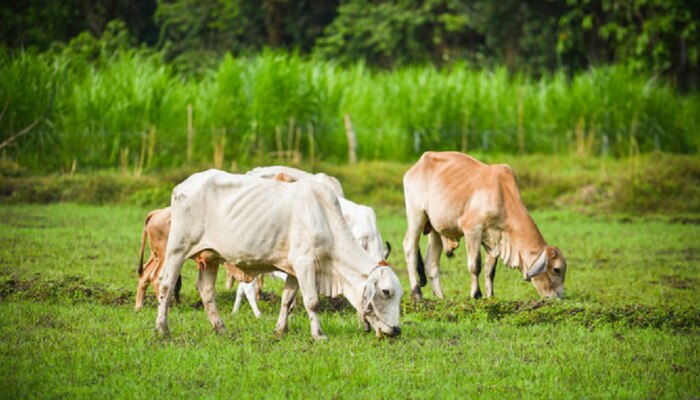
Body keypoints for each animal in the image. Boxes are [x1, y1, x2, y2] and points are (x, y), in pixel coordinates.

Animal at [156, 170, 402, 340]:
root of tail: (183, 185)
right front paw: (319, 335)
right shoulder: (305, 263)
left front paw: (280, 330)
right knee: (166, 285)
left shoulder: (294, 270)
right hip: (177, 248)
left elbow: (287, 300)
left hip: (210, 257)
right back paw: (162, 329)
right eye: (386, 292)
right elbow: (312, 302)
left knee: (206, 291)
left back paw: (221, 328)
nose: (397, 330)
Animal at [402, 152, 568, 302]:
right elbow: (475, 265)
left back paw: (441, 297)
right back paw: (417, 293)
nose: (559, 297)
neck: (503, 196)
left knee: (432, 262)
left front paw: (490, 296)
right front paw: (476, 294)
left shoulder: (494, 239)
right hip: (416, 215)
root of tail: (419, 164)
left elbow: (490, 271)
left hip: (435, 230)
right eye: (556, 269)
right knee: (410, 247)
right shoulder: (472, 229)